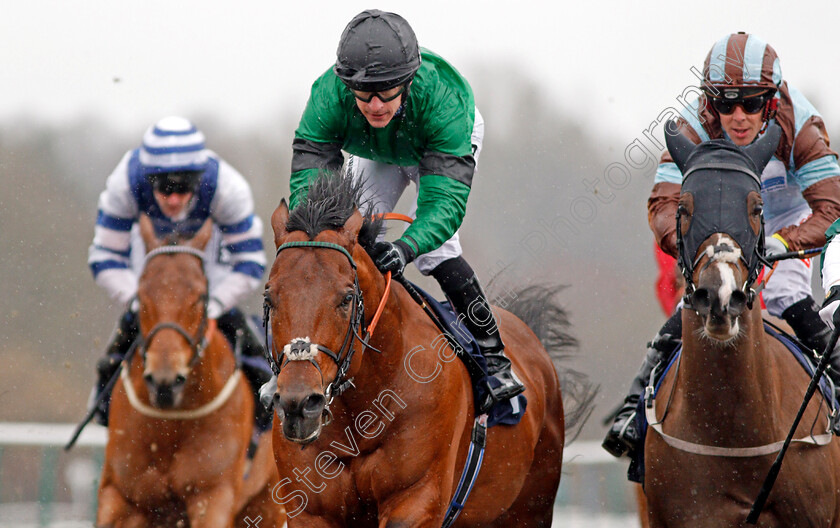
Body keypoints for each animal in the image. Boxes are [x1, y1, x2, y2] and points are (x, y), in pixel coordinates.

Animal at [97, 216, 284, 528]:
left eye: (199, 296)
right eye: (142, 294)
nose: (165, 381)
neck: (171, 424)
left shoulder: (213, 496)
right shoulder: (120, 497)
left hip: (268, 501)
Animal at [262, 176, 592, 528]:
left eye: (347, 298)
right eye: (269, 297)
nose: (298, 403)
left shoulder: (416, 500)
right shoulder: (312, 511)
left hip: (532, 504)